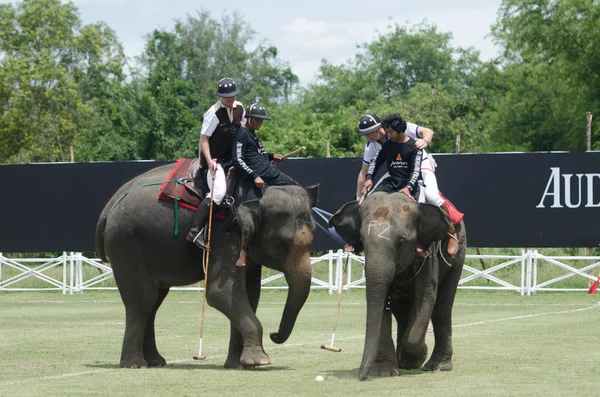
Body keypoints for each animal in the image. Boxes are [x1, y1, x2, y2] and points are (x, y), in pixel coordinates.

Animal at [95, 162, 318, 368]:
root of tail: (109, 206)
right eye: (282, 244)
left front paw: (240, 365)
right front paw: (260, 360)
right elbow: (221, 292)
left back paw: (156, 362)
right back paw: (135, 364)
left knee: (154, 301)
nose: (274, 334)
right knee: (143, 301)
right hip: (126, 244)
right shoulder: (224, 233)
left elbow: (250, 295)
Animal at [328, 192, 464, 380]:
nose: (362, 376)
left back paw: (435, 366)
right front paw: (384, 372)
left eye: (401, 242)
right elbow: (382, 302)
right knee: (401, 312)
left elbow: (426, 296)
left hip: (458, 256)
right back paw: (403, 362)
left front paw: (418, 357)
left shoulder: (429, 254)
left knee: (441, 308)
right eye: (362, 240)